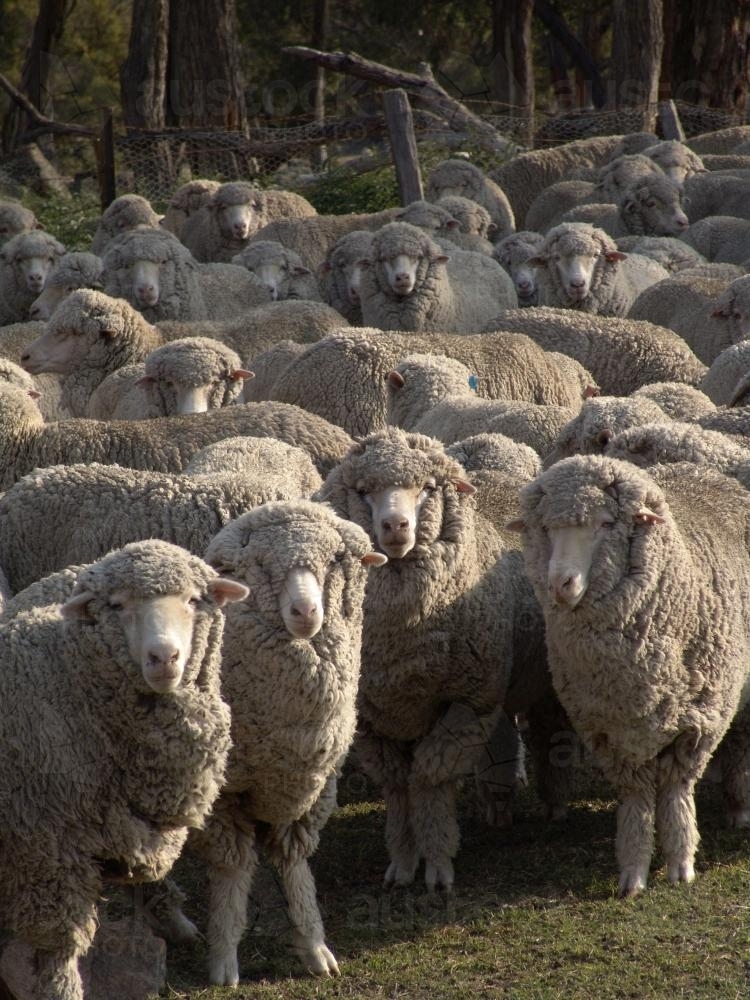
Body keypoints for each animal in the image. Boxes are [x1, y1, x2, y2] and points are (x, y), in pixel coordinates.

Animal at [0, 539, 248, 1000]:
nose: (164, 657)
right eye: (117, 605)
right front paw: (62, 989)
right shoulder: (47, 850)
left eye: (193, 600)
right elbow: (59, 952)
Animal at [164, 500, 388, 984]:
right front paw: (224, 956)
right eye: (262, 566)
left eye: (334, 561)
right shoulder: (221, 797)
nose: (305, 612)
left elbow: (294, 865)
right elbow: (232, 871)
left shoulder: (309, 792)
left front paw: (314, 946)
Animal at [319, 428, 566, 891]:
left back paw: (553, 803)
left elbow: (430, 778)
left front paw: (436, 865)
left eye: (427, 488)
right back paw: (497, 805)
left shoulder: (466, 703)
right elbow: (399, 787)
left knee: (548, 734)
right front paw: (401, 863)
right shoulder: (372, 719)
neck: (403, 635)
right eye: (363, 491)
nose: (395, 526)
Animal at [512, 456, 750, 895]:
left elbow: (675, 794)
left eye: (606, 524)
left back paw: (739, 808)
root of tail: (703, 470)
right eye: (547, 529)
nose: (560, 584)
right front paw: (634, 873)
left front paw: (680, 864)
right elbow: (636, 804)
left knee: (740, 743)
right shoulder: (610, 731)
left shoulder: (695, 725)